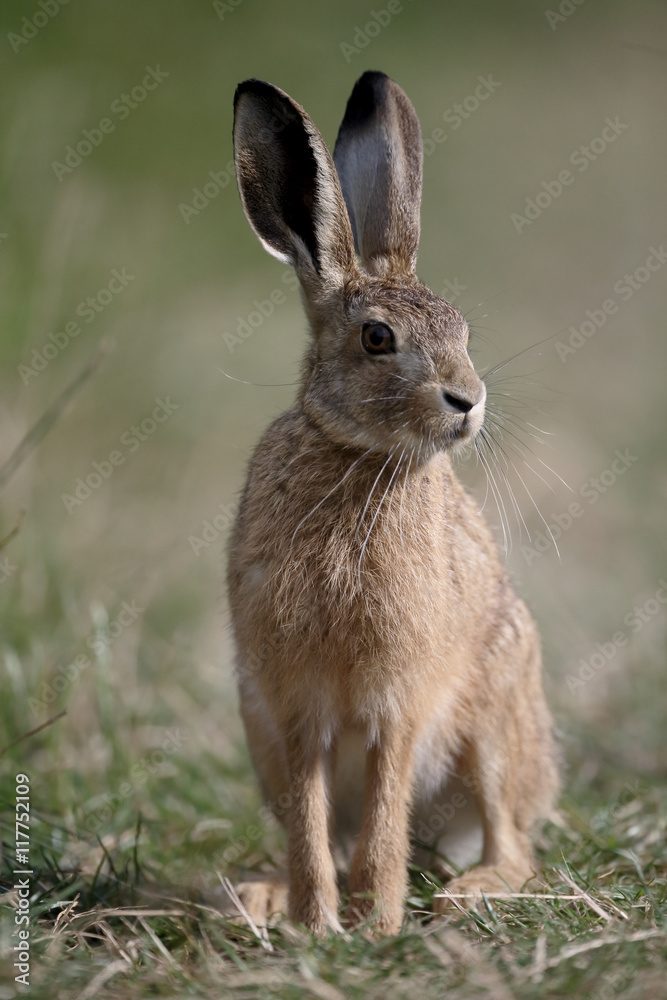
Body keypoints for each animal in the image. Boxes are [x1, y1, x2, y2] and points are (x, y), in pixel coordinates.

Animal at [226, 70, 559, 937]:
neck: (360, 458)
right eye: (377, 339)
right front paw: (319, 924)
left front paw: (374, 926)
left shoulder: (396, 706)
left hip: (493, 730)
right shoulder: (295, 713)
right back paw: (263, 895)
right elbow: (315, 829)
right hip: (259, 738)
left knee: (513, 844)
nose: (467, 401)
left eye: (464, 330)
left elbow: (383, 821)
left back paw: (468, 891)